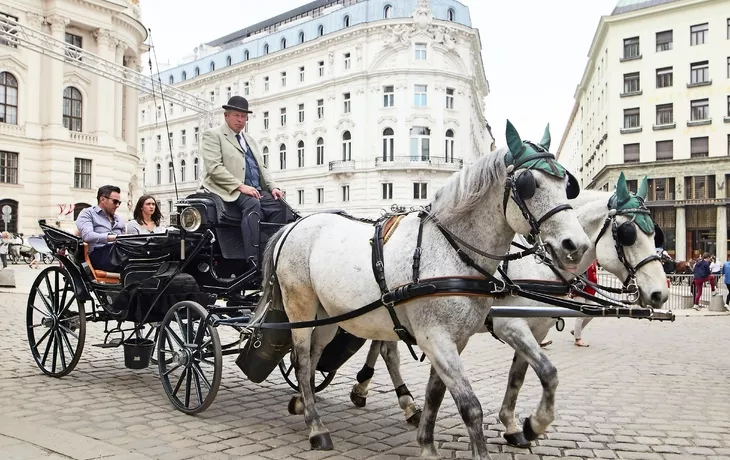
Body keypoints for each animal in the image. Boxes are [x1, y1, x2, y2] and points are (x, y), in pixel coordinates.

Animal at [253, 120, 588, 458]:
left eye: (567, 184)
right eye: (529, 184)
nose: (576, 246)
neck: (450, 250)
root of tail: (293, 226)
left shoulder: (457, 339)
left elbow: (437, 393)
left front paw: (428, 443)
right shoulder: (439, 336)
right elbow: (470, 406)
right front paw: (513, 431)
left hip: (327, 317)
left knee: (315, 356)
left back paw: (303, 403)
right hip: (300, 308)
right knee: (303, 361)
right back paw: (316, 427)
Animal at [344, 172, 668, 446]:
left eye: (655, 235)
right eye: (628, 234)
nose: (660, 293)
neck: (540, 267)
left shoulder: (536, 330)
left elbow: (519, 376)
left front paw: (513, 425)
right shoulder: (510, 325)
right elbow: (545, 371)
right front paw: (531, 424)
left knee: (382, 346)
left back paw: (375, 391)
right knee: (387, 350)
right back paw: (397, 399)